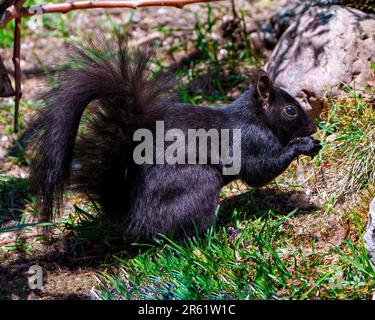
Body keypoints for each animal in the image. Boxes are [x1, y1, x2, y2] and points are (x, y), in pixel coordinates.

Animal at [30, 34, 324, 240]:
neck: (254, 116)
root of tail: (134, 218)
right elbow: (257, 173)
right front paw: (303, 145)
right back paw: (225, 233)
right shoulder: (252, 140)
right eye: (290, 110)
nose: (313, 129)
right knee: (191, 233)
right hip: (198, 182)